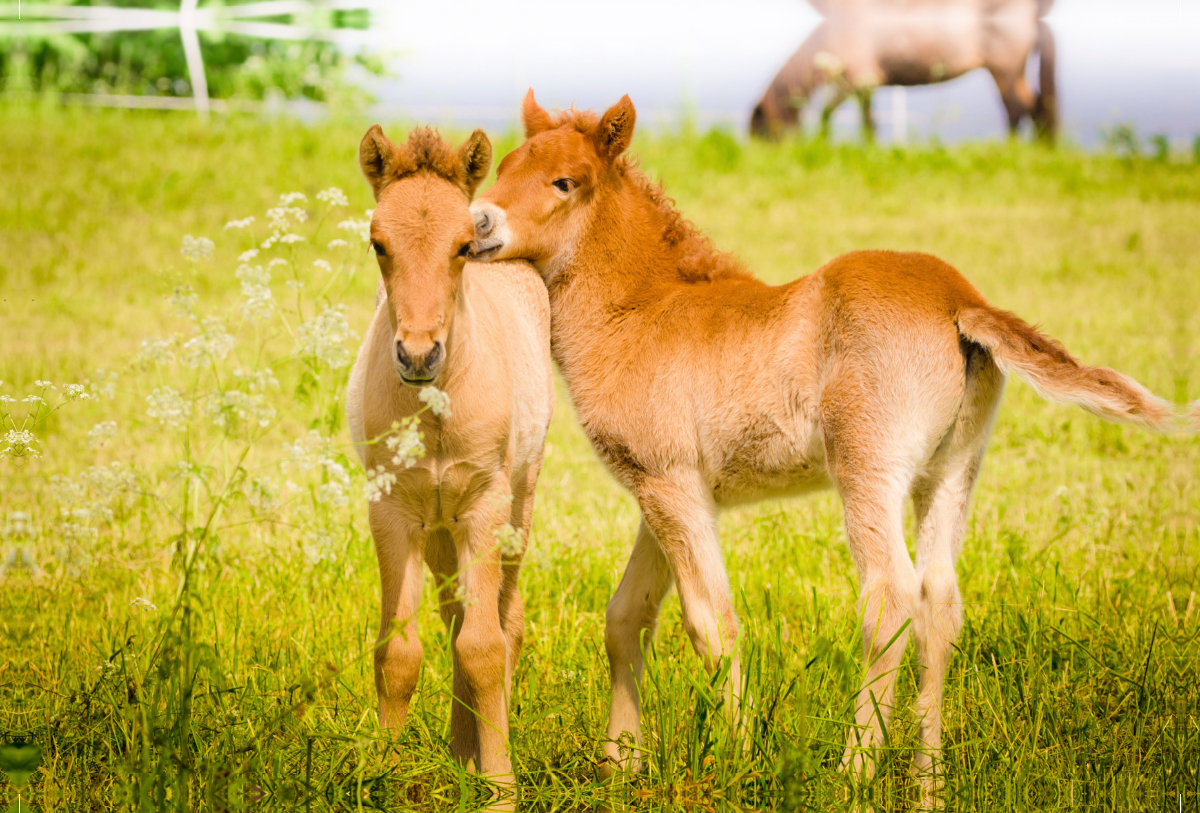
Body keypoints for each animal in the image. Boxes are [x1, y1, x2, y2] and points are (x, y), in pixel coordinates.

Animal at [345, 125, 554, 781]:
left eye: (462, 245)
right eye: (377, 243)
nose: (418, 354)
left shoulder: (484, 506)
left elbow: (485, 648)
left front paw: (500, 786)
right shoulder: (391, 511)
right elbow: (398, 651)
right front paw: (383, 779)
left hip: (515, 506)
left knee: (504, 622)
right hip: (438, 526)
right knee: (455, 614)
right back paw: (463, 751)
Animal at [470, 92, 1180, 801]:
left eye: (565, 182)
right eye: (502, 168)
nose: (478, 222)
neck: (641, 311)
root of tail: (961, 301)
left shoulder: (668, 484)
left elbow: (711, 623)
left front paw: (739, 764)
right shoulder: (666, 491)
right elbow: (627, 618)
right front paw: (621, 766)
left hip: (867, 466)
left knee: (891, 598)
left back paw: (853, 772)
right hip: (952, 472)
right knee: (940, 605)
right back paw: (927, 783)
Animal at [753, 0, 1056, 141]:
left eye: (761, 133)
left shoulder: (856, 80)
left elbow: (829, 115)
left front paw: (824, 142)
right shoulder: (864, 84)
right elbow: (867, 121)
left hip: (1003, 70)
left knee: (1017, 108)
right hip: (1012, 72)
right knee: (1036, 105)